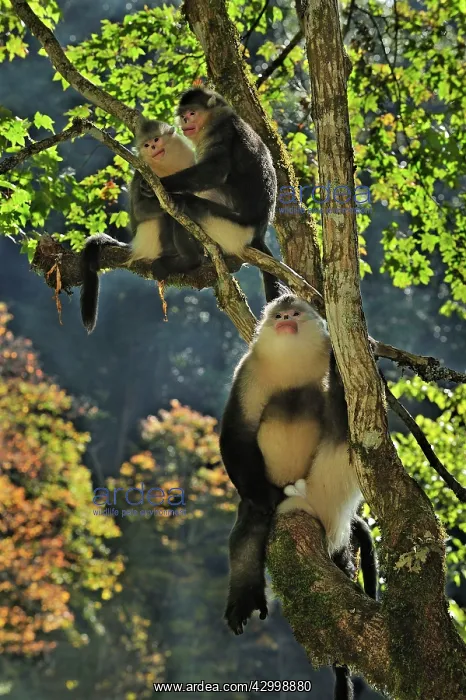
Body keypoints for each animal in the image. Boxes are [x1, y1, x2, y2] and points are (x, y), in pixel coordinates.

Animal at [80, 118, 206, 333]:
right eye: (147, 145)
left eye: (156, 140)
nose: (153, 147)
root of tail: (136, 245)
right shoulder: (143, 175)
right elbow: (140, 210)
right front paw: (177, 199)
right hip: (153, 240)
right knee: (169, 218)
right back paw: (188, 259)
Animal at [219, 292, 378, 699]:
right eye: (279, 316)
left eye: (294, 313)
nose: (286, 318)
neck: (291, 361)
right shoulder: (247, 374)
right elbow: (236, 435)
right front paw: (261, 501)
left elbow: (347, 415)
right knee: (247, 530)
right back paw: (244, 595)